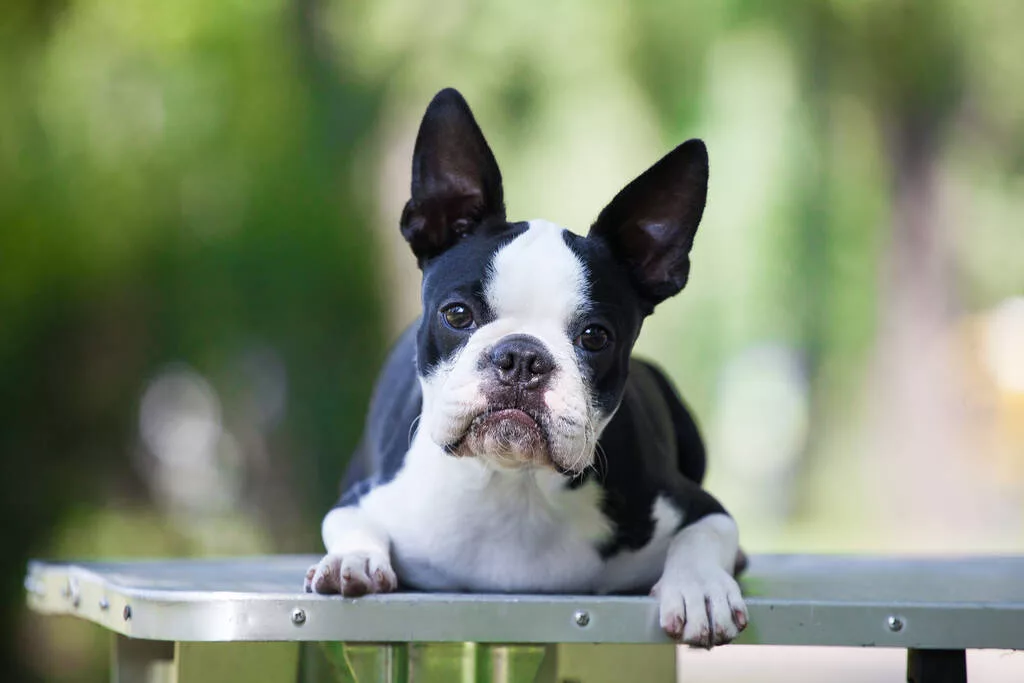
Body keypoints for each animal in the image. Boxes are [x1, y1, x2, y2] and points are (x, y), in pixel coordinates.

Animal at [299, 88, 749, 651]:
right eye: (457, 315)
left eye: (595, 337)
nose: (521, 358)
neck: (515, 485)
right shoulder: (361, 496)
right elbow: (351, 524)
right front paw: (352, 559)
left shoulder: (697, 503)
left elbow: (706, 533)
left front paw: (700, 588)